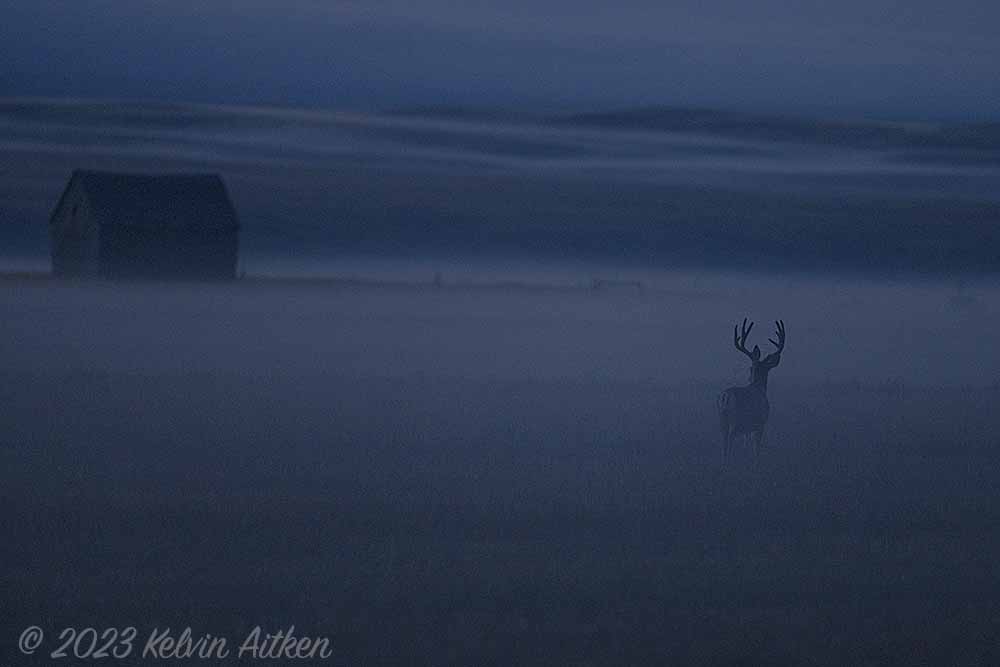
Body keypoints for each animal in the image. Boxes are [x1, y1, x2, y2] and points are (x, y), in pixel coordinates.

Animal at [717, 318, 785, 457]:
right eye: (767, 369)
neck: (758, 387)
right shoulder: (760, 423)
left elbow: (747, 444)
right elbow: (756, 449)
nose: (749, 378)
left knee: (724, 445)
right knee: (730, 440)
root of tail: (726, 396)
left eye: (750, 368)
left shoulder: (749, 429)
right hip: (736, 420)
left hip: (722, 421)